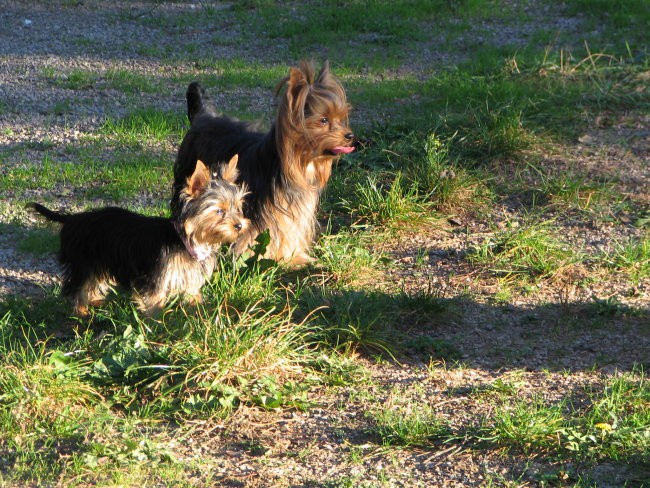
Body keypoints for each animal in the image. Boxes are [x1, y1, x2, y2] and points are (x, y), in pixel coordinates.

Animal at [27, 157, 247, 316]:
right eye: (219, 211)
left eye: (238, 208)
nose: (239, 225)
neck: (187, 240)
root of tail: (73, 218)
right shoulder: (155, 279)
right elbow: (155, 303)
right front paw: (158, 324)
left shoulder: (190, 276)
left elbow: (193, 294)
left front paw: (199, 312)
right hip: (83, 261)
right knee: (76, 288)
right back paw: (81, 313)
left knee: (93, 281)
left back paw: (95, 300)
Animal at [171, 61, 354, 268]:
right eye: (323, 120)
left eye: (341, 118)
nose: (349, 135)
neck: (300, 164)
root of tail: (203, 115)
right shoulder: (255, 210)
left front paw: (294, 257)